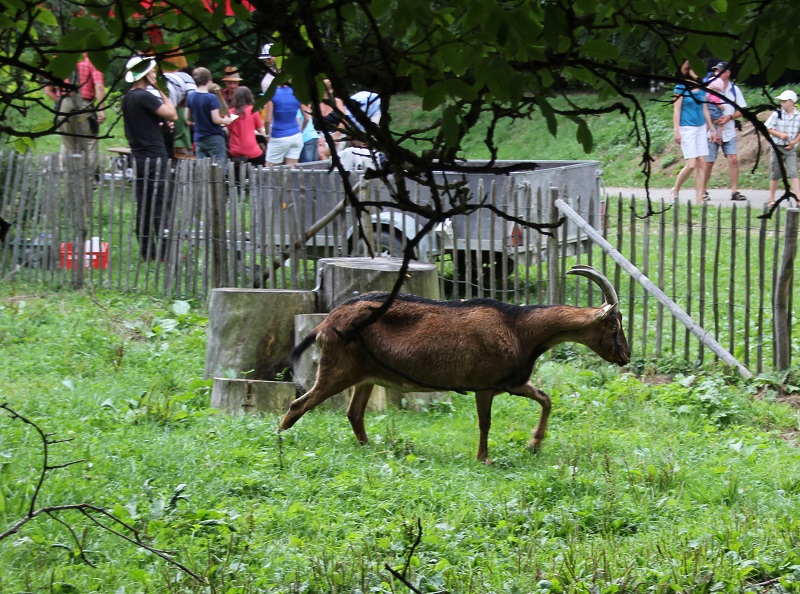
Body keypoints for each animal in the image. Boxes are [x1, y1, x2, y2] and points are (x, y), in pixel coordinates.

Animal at [282, 264, 632, 462]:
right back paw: (281, 442)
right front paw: (483, 458)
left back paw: (370, 449)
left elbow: (545, 399)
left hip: (365, 376)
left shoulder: (513, 383)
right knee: (299, 405)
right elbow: (485, 423)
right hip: (337, 370)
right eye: (614, 326)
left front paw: (534, 445)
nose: (626, 357)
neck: (519, 327)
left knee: (354, 413)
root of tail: (327, 321)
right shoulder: (485, 386)